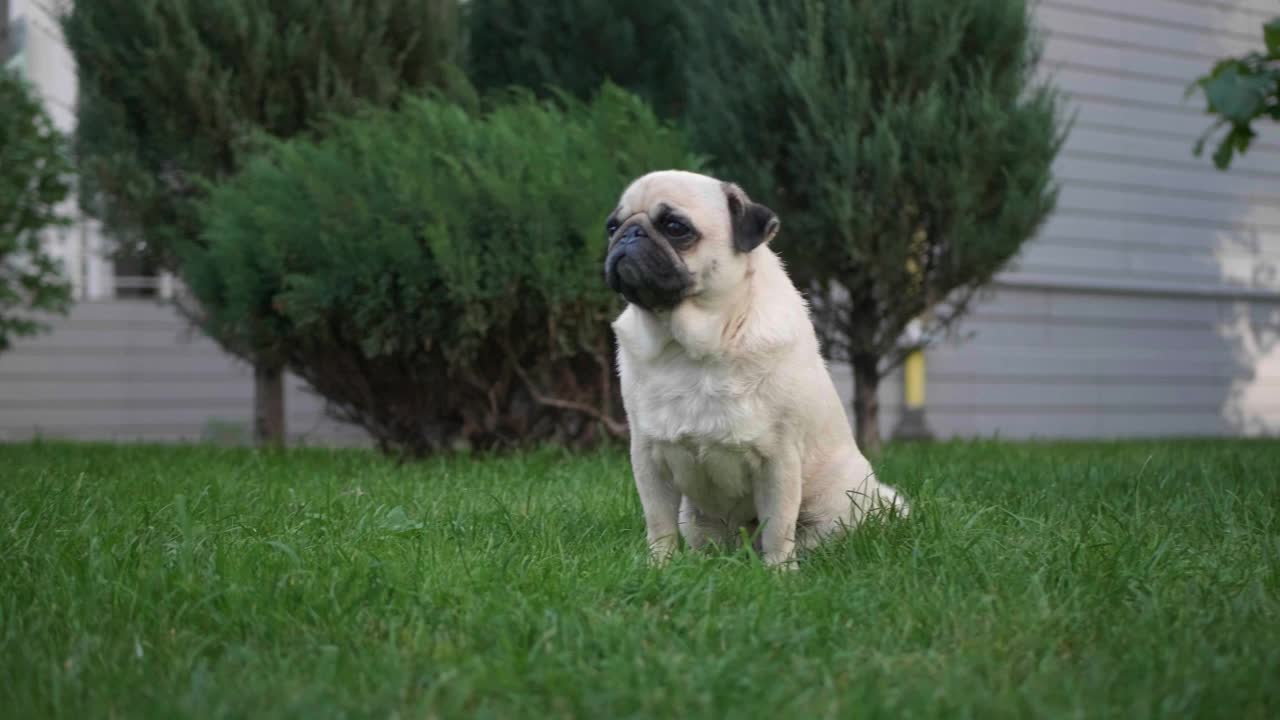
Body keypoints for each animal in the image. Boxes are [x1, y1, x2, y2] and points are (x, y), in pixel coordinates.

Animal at [604, 169, 906, 566]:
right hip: (697, 522)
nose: (629, 234)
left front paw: (779, 571)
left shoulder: (778, 460)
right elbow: (659, 525)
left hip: (833, 509)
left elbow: (778, 525)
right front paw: (660, 567)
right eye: (612, 227)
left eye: (675, 227)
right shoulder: (648, 459)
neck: (688, 345)